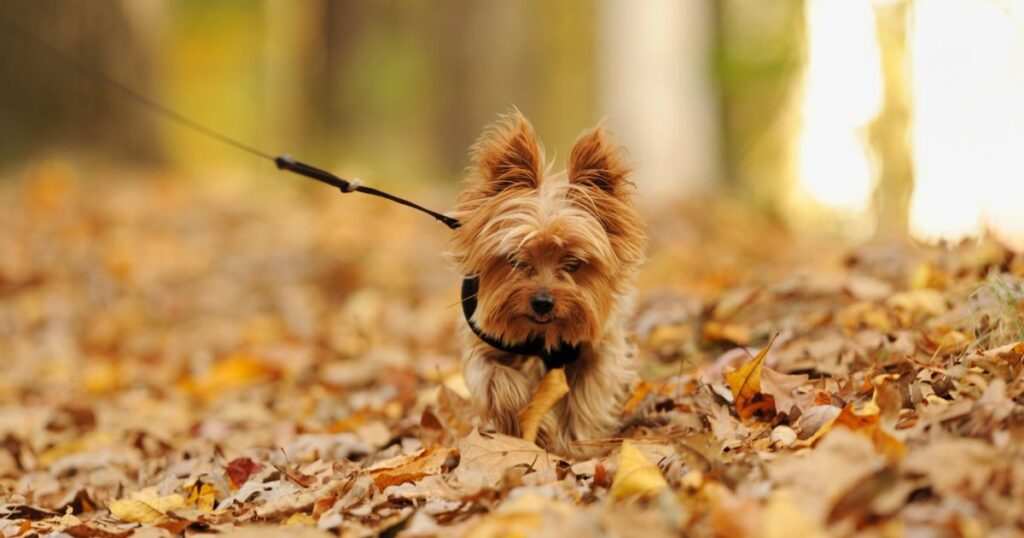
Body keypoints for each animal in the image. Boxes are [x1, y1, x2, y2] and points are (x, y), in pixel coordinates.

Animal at [450, 111, 643, 454]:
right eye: (515, 259)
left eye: (574, 264)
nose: (542, 303)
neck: (541, 335)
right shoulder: (483, 344)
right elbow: (496, 383)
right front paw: (532, 426)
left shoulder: (598, 351)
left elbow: (584, 401)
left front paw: (574, 446)